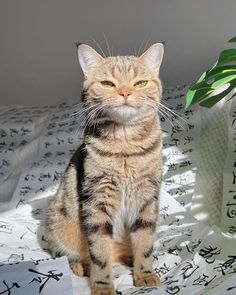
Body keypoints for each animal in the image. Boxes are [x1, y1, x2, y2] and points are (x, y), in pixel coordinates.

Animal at [45, 42, 164, 295]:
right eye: (108, 83)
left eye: (140, 83)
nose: (125, 93)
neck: (126, 144)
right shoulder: (97, 201)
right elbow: (100, 252)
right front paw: (102, 285)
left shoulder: (147, 198)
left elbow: (144, 242)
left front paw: (144, 273)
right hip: (59, 224)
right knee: (70, 254)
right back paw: (81, 266)